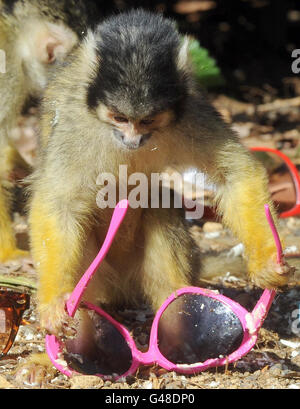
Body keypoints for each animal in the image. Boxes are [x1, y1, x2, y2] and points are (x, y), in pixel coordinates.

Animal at [21, 9, 292, 382]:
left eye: (147, 120)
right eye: (119, 117)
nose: (132, 140)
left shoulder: (190, 109)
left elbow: (235, 173)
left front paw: (264, 262)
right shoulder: (76, 121)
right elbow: (58, 202)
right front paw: (50, 305)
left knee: (158, 213)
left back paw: (177, 341)